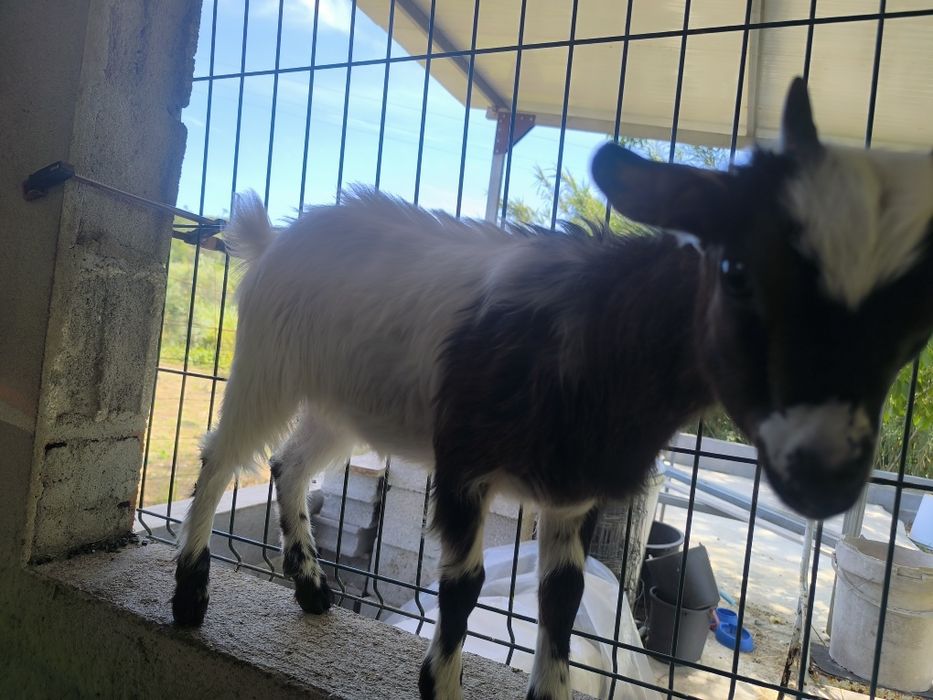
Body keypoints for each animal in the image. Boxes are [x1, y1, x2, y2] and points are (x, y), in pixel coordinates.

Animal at [171, 78, 933, 700]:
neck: (600, 333)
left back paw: (309, 587)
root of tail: (273, 240)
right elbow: (463, 588)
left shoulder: (573, 494)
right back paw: (189, 594)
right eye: (737, 269)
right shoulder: (466, 464)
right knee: (222, 457)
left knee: (289, 464)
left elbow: (561, 596)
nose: (827, 474)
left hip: (346, 406)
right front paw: (439, 686)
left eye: (912, 316)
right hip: (269, 363)